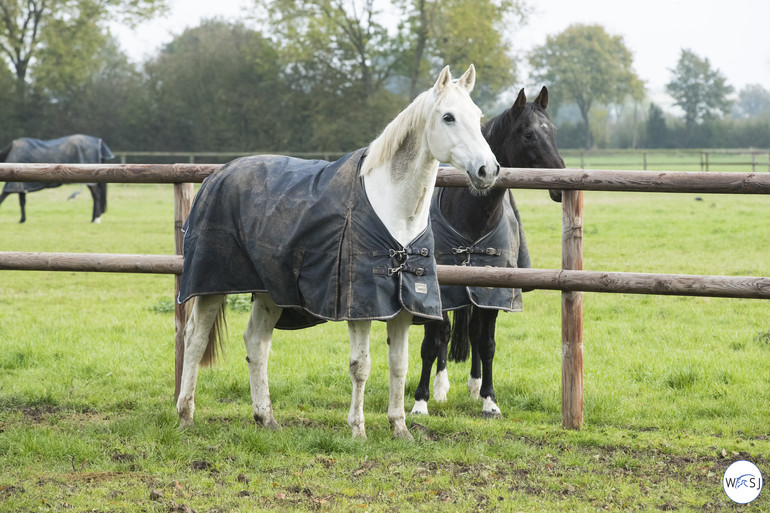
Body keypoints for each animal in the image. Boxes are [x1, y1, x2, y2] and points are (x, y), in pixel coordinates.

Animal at [174, 65, 498, 440]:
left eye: (477, 115)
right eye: (448, 117)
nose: (488, 170)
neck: (393, 208)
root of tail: (218, 175)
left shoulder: (402, 308)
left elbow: (399, 365)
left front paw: (400, 426)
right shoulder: (360, 308)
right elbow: (361, 366)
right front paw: (358, 428)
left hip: (270, 291)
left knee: (256, 343)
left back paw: (266, 418)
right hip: (210, 287)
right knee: (195, 340)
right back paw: (185, 415)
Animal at [414, 86, 564, 418]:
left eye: (553, 131)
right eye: (528, 134)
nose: (561, 183)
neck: (470, 215)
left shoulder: (493, 291)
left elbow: (486, 343)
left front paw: (489, 400)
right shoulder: (440, 289)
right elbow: (432, 343)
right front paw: (420, 402)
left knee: (471, 332)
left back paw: (473, 385)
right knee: (444, 334)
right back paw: (440, 388)